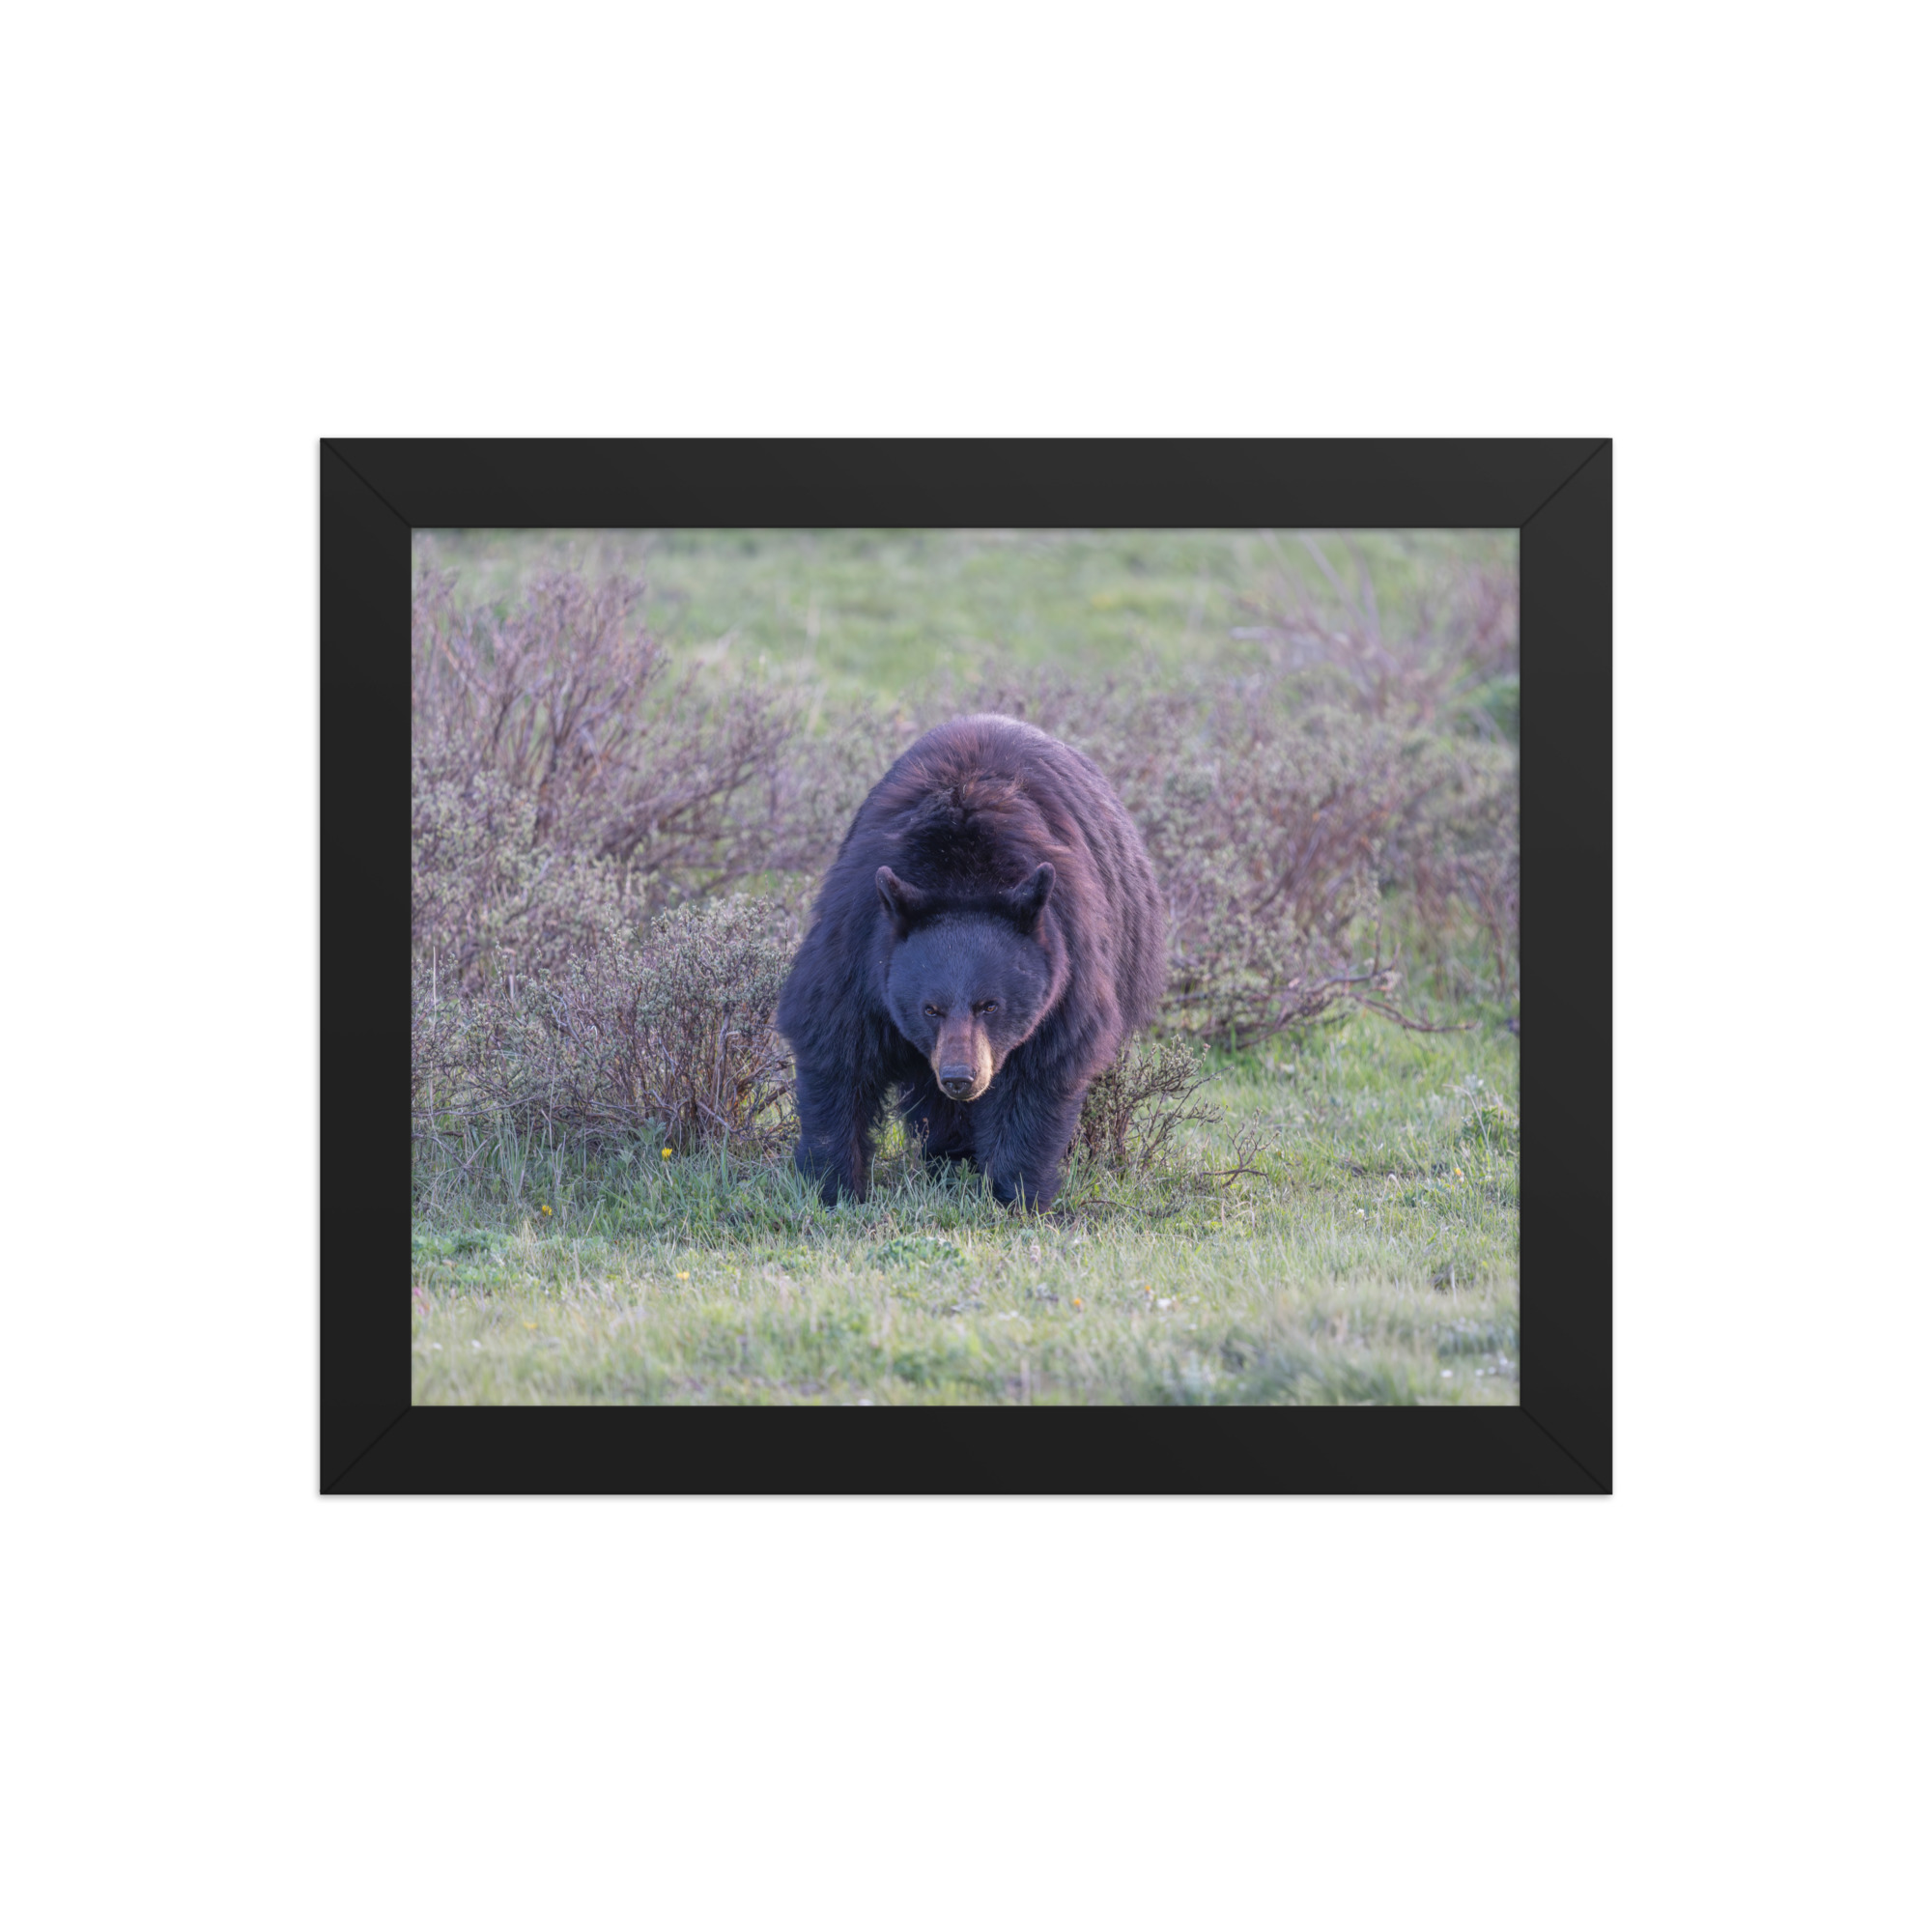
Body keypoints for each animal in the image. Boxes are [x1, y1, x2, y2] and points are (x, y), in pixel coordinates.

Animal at [776, 713, 1166, 1209]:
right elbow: (835, 1046)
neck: (961, 873)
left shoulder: (1068, 961)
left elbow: (1041, 1071)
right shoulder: (858, 942)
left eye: (990, 1005)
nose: (961, 1078)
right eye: (930, 1009)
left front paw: (1017, 1194)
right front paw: (833, 1185)